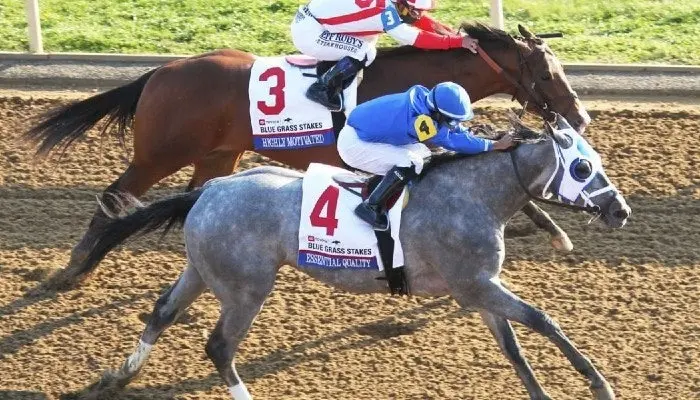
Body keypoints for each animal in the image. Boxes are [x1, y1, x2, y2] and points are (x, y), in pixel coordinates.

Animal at [25, 22, 590, 290]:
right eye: (547, 73)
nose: (579, 117)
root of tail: (159, 73)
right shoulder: (409, 145)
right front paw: (556, 235)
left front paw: (550, 233)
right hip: (159, 154)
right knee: (114, 196)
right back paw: (71, 270)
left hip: (218, 155)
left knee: (189, 199)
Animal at [74, 114, 628, 400]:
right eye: (582, 167)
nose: (620, 209)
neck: (475, 194)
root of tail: (210, 189)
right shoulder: (476, 285)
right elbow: (543, 320)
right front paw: (599, 382)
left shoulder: (478, 290)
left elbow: (514, 348)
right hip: (245, 288)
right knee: (219, 346)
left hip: (203, 270)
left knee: (162, 311)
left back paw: (120, 375)